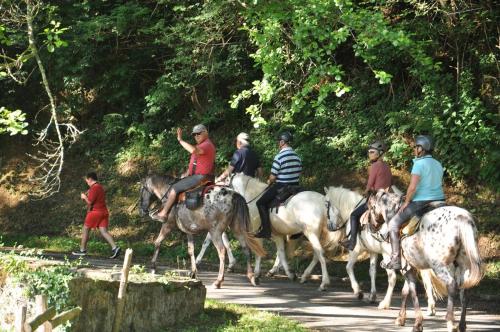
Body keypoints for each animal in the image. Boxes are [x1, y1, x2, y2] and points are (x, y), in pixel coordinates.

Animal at [137, 174, 266, 288]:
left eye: (142, 189)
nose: (141, 210)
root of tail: (234, 195)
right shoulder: (188, 231)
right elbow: (191, 250)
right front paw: (193, 272)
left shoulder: (167, 225)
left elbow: (158, 242)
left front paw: (153, 267)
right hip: (237, 228)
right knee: (246, 249)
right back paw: (252, 277)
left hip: (215, 231)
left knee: (222, 251)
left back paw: (219, 281)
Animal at [324, 185, 438, 316]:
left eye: (326, 204)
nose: (329, 227)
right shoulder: (373, 252)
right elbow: (372, 271)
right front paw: (372, 296)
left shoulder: (356, 250)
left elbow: (348, 267)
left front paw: (358, 292)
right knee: (424, 275)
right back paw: (430, 307)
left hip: (388, 255)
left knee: (393, 277)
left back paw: (385, 303)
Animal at [366, 189, 482, 332]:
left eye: (370, 207)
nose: (371, 227)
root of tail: (462, 218)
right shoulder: (410, 267)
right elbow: (406, 291)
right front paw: (401, 318)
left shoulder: (406, 269)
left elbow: (413, 293)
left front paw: (417, 324)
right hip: (463, 266)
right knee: (464, 291)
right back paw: (462, 325)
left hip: (439, 266)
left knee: (451, 285)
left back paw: (451, 323)